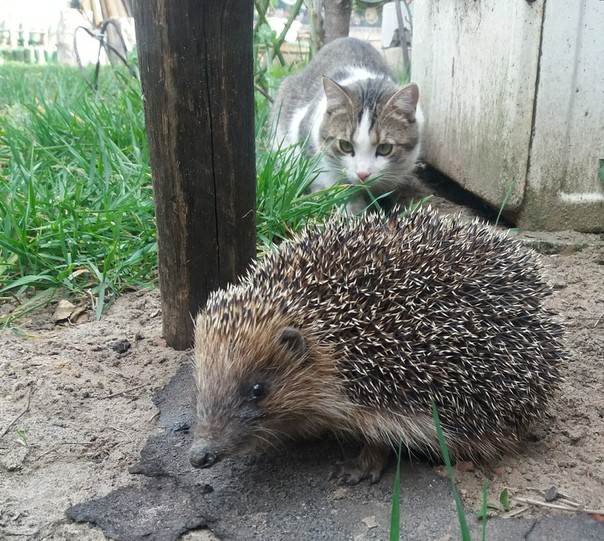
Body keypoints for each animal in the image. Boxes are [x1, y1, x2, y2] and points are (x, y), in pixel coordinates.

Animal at [272, 35, 422, 213]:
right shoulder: (306, 136)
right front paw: (351, 207)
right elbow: (327, 176)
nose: (362, 174)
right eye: (345, 145)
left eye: (385, 148)